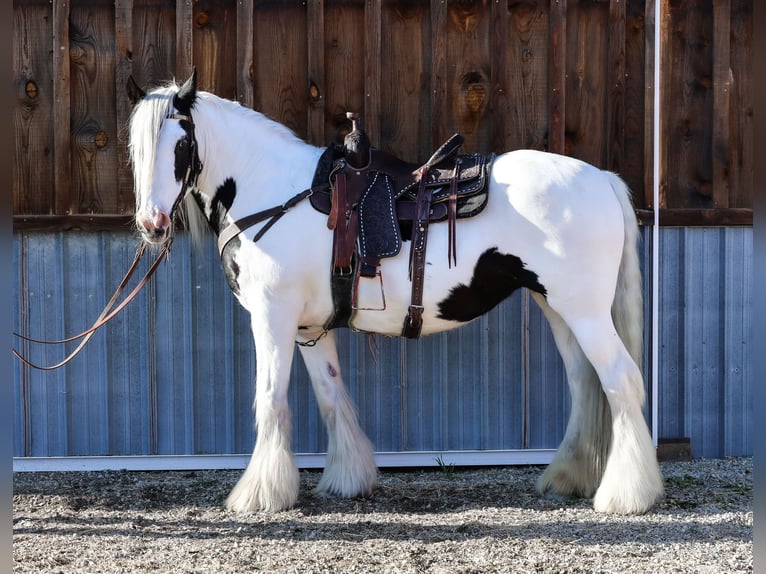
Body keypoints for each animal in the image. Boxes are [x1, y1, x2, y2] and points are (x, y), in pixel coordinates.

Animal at [129, 68, 664, 516]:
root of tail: (602, 179)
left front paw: (259, 494)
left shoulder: (272, 317)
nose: (152, 225)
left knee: (621, 381)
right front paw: (348, 478)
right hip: (557, 308)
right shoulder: (308, 328)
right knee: (586, 385)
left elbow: (271, 398)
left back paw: (626, 495)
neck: (273, 189)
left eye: (180, 146)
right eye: (136, 150)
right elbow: (330, 395)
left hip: (584, 312)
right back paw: (570, 477)